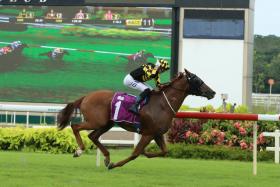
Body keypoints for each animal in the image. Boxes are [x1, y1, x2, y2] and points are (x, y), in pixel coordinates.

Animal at [56, 69, 214, 169]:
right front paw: (115, 165)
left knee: (93, 136)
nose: (212, 92)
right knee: (76, 127)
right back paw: (80, 151)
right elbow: (135, 153)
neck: (163, 104)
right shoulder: (148, 133)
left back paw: (107, 157)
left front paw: (146, 153)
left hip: (107, 123)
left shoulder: (157, 133)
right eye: (197, 80)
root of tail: (86, 96)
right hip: (96, 121)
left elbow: (164, 151)